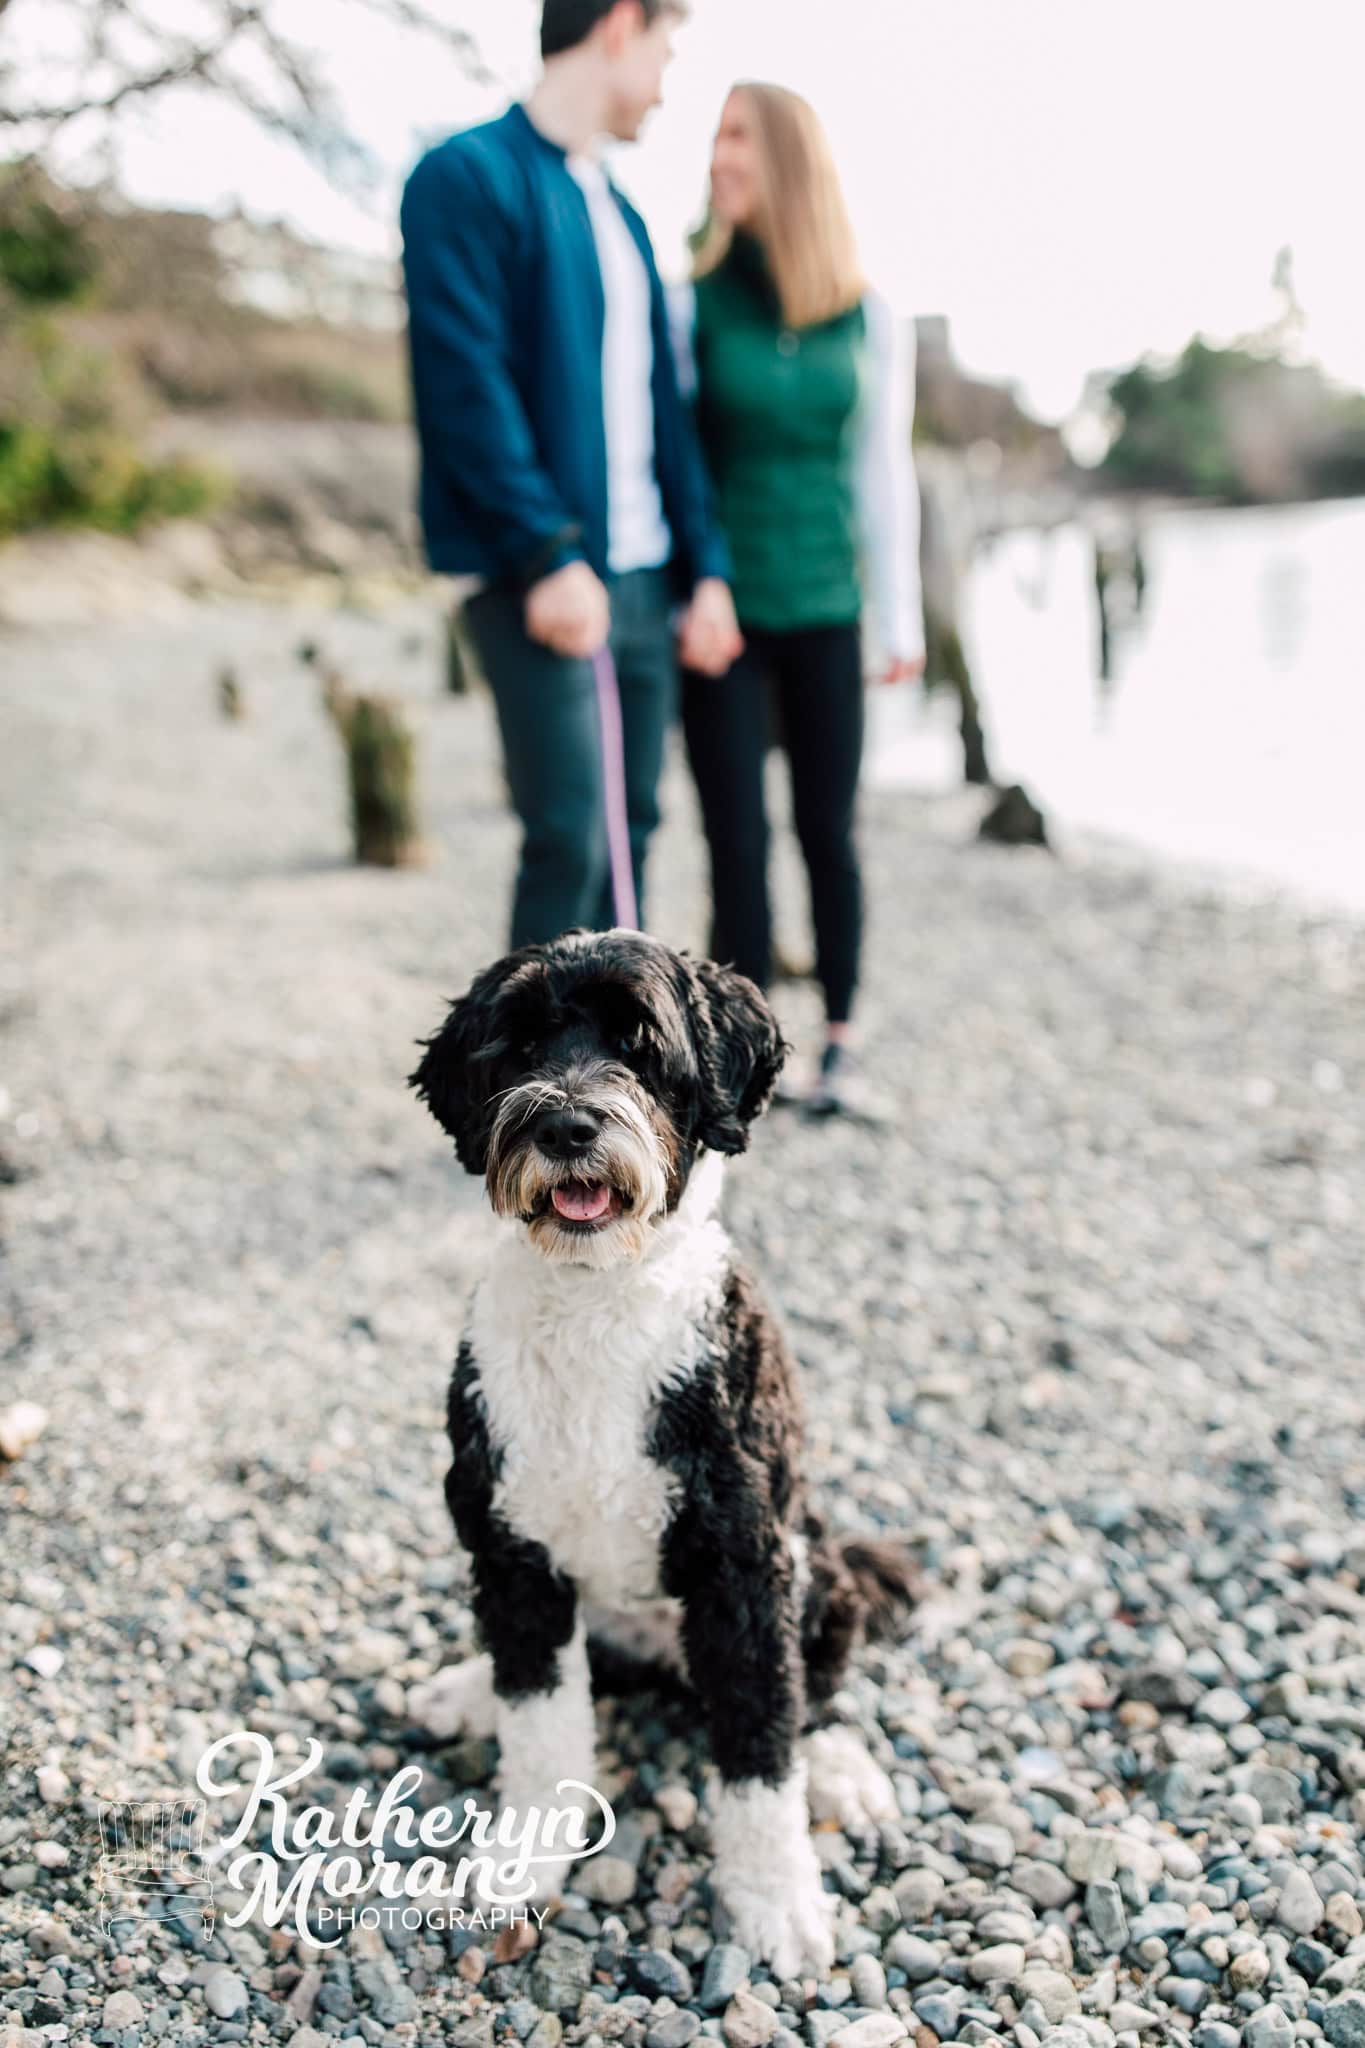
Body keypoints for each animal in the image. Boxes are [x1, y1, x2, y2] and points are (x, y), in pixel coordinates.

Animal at [405, 937, 916, 1974]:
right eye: (518, 1048)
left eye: (640, 1045)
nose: (565, 1124)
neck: (597, 1301)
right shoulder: (511, 1549)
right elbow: (542, 1720)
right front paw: (524, 1858)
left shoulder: (744, 1567)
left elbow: (759, 1748)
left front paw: (774, 1902)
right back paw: (466, 1689)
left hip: (815, 1562)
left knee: (813, 1693)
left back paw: (839, 1768)